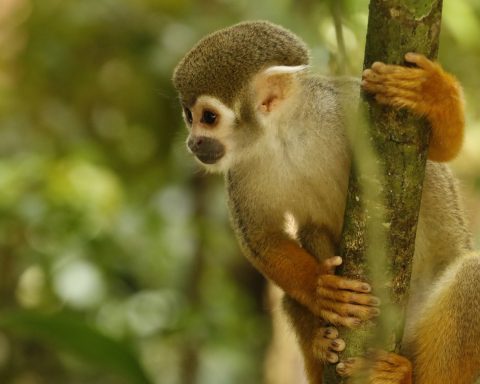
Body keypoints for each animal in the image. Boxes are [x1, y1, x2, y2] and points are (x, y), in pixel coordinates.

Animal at [173, 21, 480, 384]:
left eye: (208, 117)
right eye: (188, 116)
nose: (193, 143)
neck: (284, 133)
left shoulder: (347, 104)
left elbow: (442, 150)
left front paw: (428, 93)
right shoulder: (238, 170)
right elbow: (263, 238)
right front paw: (323, 291)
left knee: (471, 278)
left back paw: (403, 376)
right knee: (305, 249)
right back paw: (323, 348)